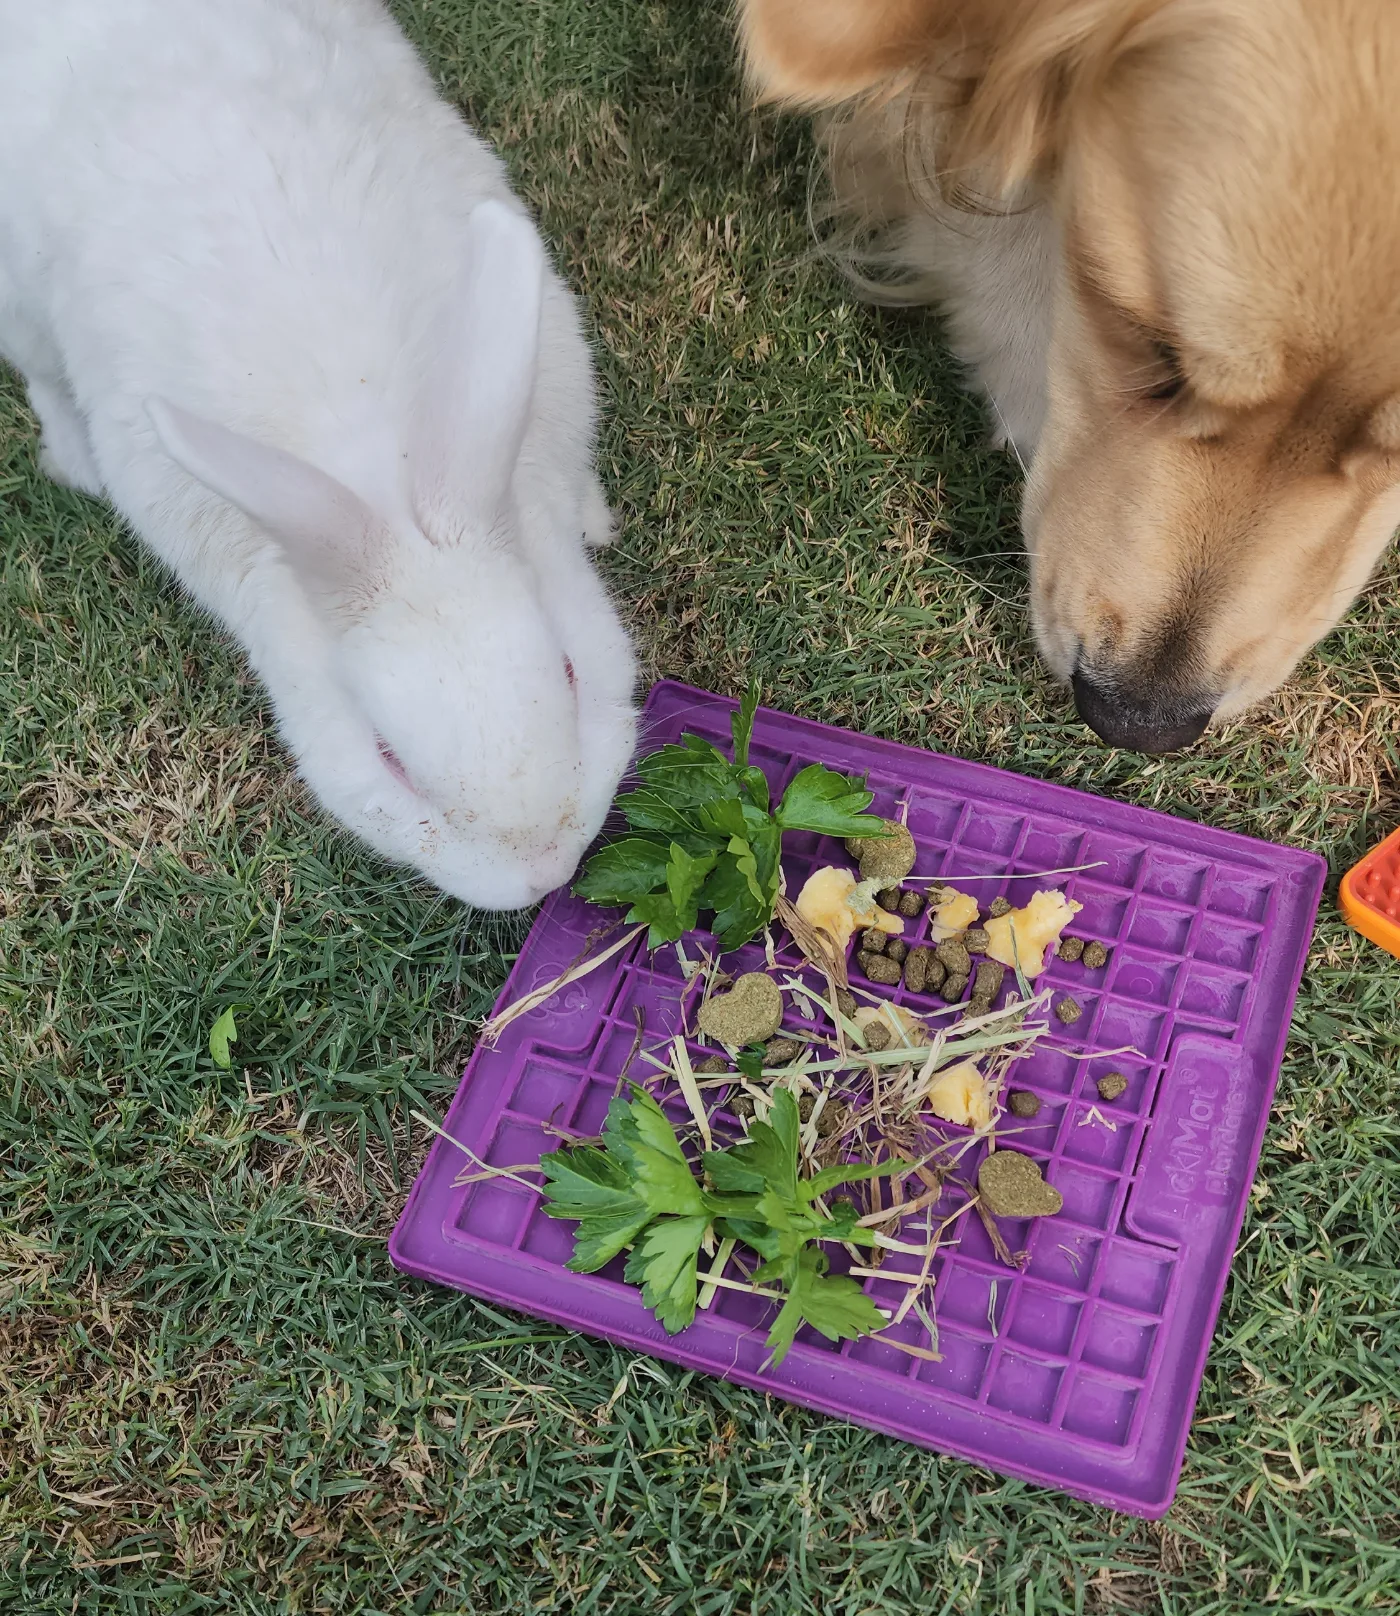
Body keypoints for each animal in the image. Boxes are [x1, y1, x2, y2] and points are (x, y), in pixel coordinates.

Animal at [0, 0, 637, 910]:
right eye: (387, 760)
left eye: (572, 672)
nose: (546, 871)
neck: (379, 471)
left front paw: (592, 521)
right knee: (43, 377)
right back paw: (73, 460)